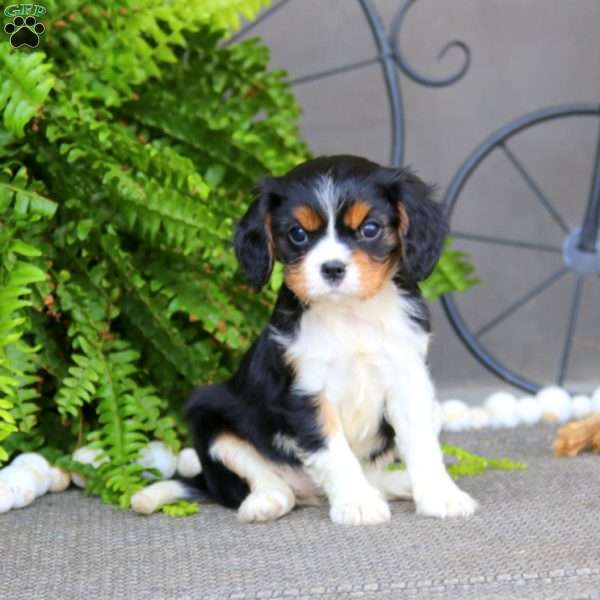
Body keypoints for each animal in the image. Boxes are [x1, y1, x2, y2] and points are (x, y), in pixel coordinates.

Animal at [132, 156, 478, 524]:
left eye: (369, 229)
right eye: (297, 234)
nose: (332, 268)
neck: (350, 313)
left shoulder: (407, 377)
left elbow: (423, 444)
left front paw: (441, 496)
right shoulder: (306, 391)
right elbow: (334, 450)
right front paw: (356, 502)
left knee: (376, 477)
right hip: (210, 411)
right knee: (264, 481)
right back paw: (266, 501)